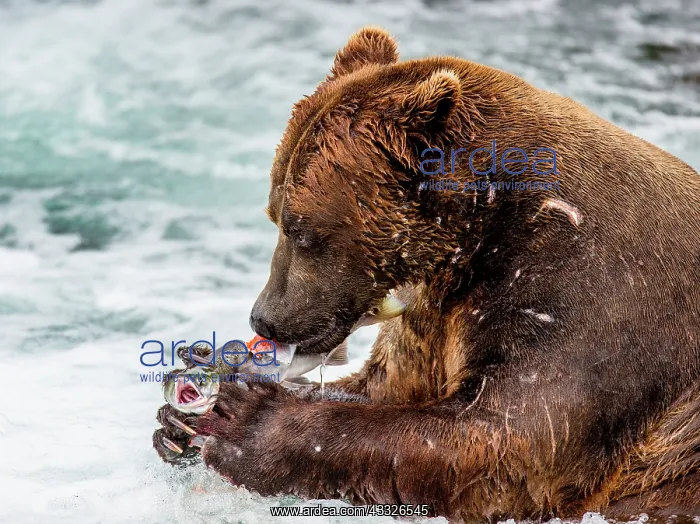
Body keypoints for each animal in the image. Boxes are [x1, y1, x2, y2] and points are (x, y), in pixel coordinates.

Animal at [153, 27, 700, 522]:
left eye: (301, 229)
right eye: (273, 214)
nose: (264, 318)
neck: (484, 235)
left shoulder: (591, 300)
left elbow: (509, 439)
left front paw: (246, 421)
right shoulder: (436, 308)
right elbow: (387, 386)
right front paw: (181, 413)